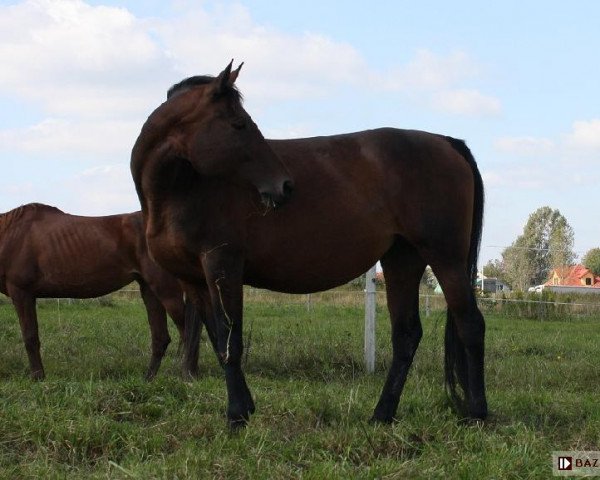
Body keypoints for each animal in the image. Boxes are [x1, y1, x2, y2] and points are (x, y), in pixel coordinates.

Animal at [0, 204, 186, 380]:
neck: (11, 235)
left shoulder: (22, 293)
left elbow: (30, 337)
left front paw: (38, 377)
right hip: (150, 290)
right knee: (161, 337)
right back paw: (149, 378)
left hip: (167, 290)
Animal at [131, 61, 488, 428]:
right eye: (239, 124)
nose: (284, 186)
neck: (182, 189)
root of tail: (447, 143)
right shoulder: (194, 280)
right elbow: (218, 341)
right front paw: (244, 408)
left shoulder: (222, 265)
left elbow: (231, 339)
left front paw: (236, 416)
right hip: (402, 260)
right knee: (406, 335)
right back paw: (382, 414)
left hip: (445, 258)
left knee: (470, 325)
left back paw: (477, 413)